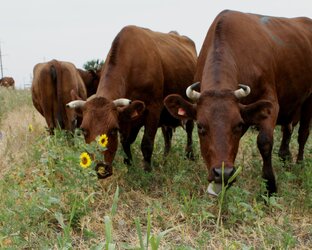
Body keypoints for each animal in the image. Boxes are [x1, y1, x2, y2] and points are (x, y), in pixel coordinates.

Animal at [67, 25, 196, 177]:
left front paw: (147, 171)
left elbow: (146, 143)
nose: (101, 168)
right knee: (167, 136)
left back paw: (190, 156)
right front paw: (129, 167)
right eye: (83, 130)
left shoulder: (154, 108)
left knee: (189, 129)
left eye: (113, 130)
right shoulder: (125, 117)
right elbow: (125, 143)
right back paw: (165, 159)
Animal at [165, 10, 310, 195]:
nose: (223, 172)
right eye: (201, 127)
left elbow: (264, 141)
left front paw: (269, 185)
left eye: (238, 125)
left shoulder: (270, 103)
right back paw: (285, 157)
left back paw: (299, 164)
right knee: (288, 129)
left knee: (303, 134)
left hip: (309, 100)